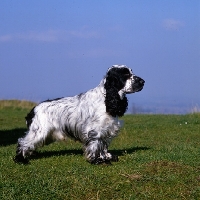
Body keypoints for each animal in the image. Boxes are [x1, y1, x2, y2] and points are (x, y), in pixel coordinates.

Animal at [14, 65, 145, 164]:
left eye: (131, 72)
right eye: (125, 74)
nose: (143, 81)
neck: (106, 99)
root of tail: (33, 110)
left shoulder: (106, 129)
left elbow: (103, 145)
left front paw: (106, 157)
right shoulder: (94, 130)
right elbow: (95, 144)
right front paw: (96, 160)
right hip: (39, 132)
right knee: (23, 142)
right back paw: (21, 159)